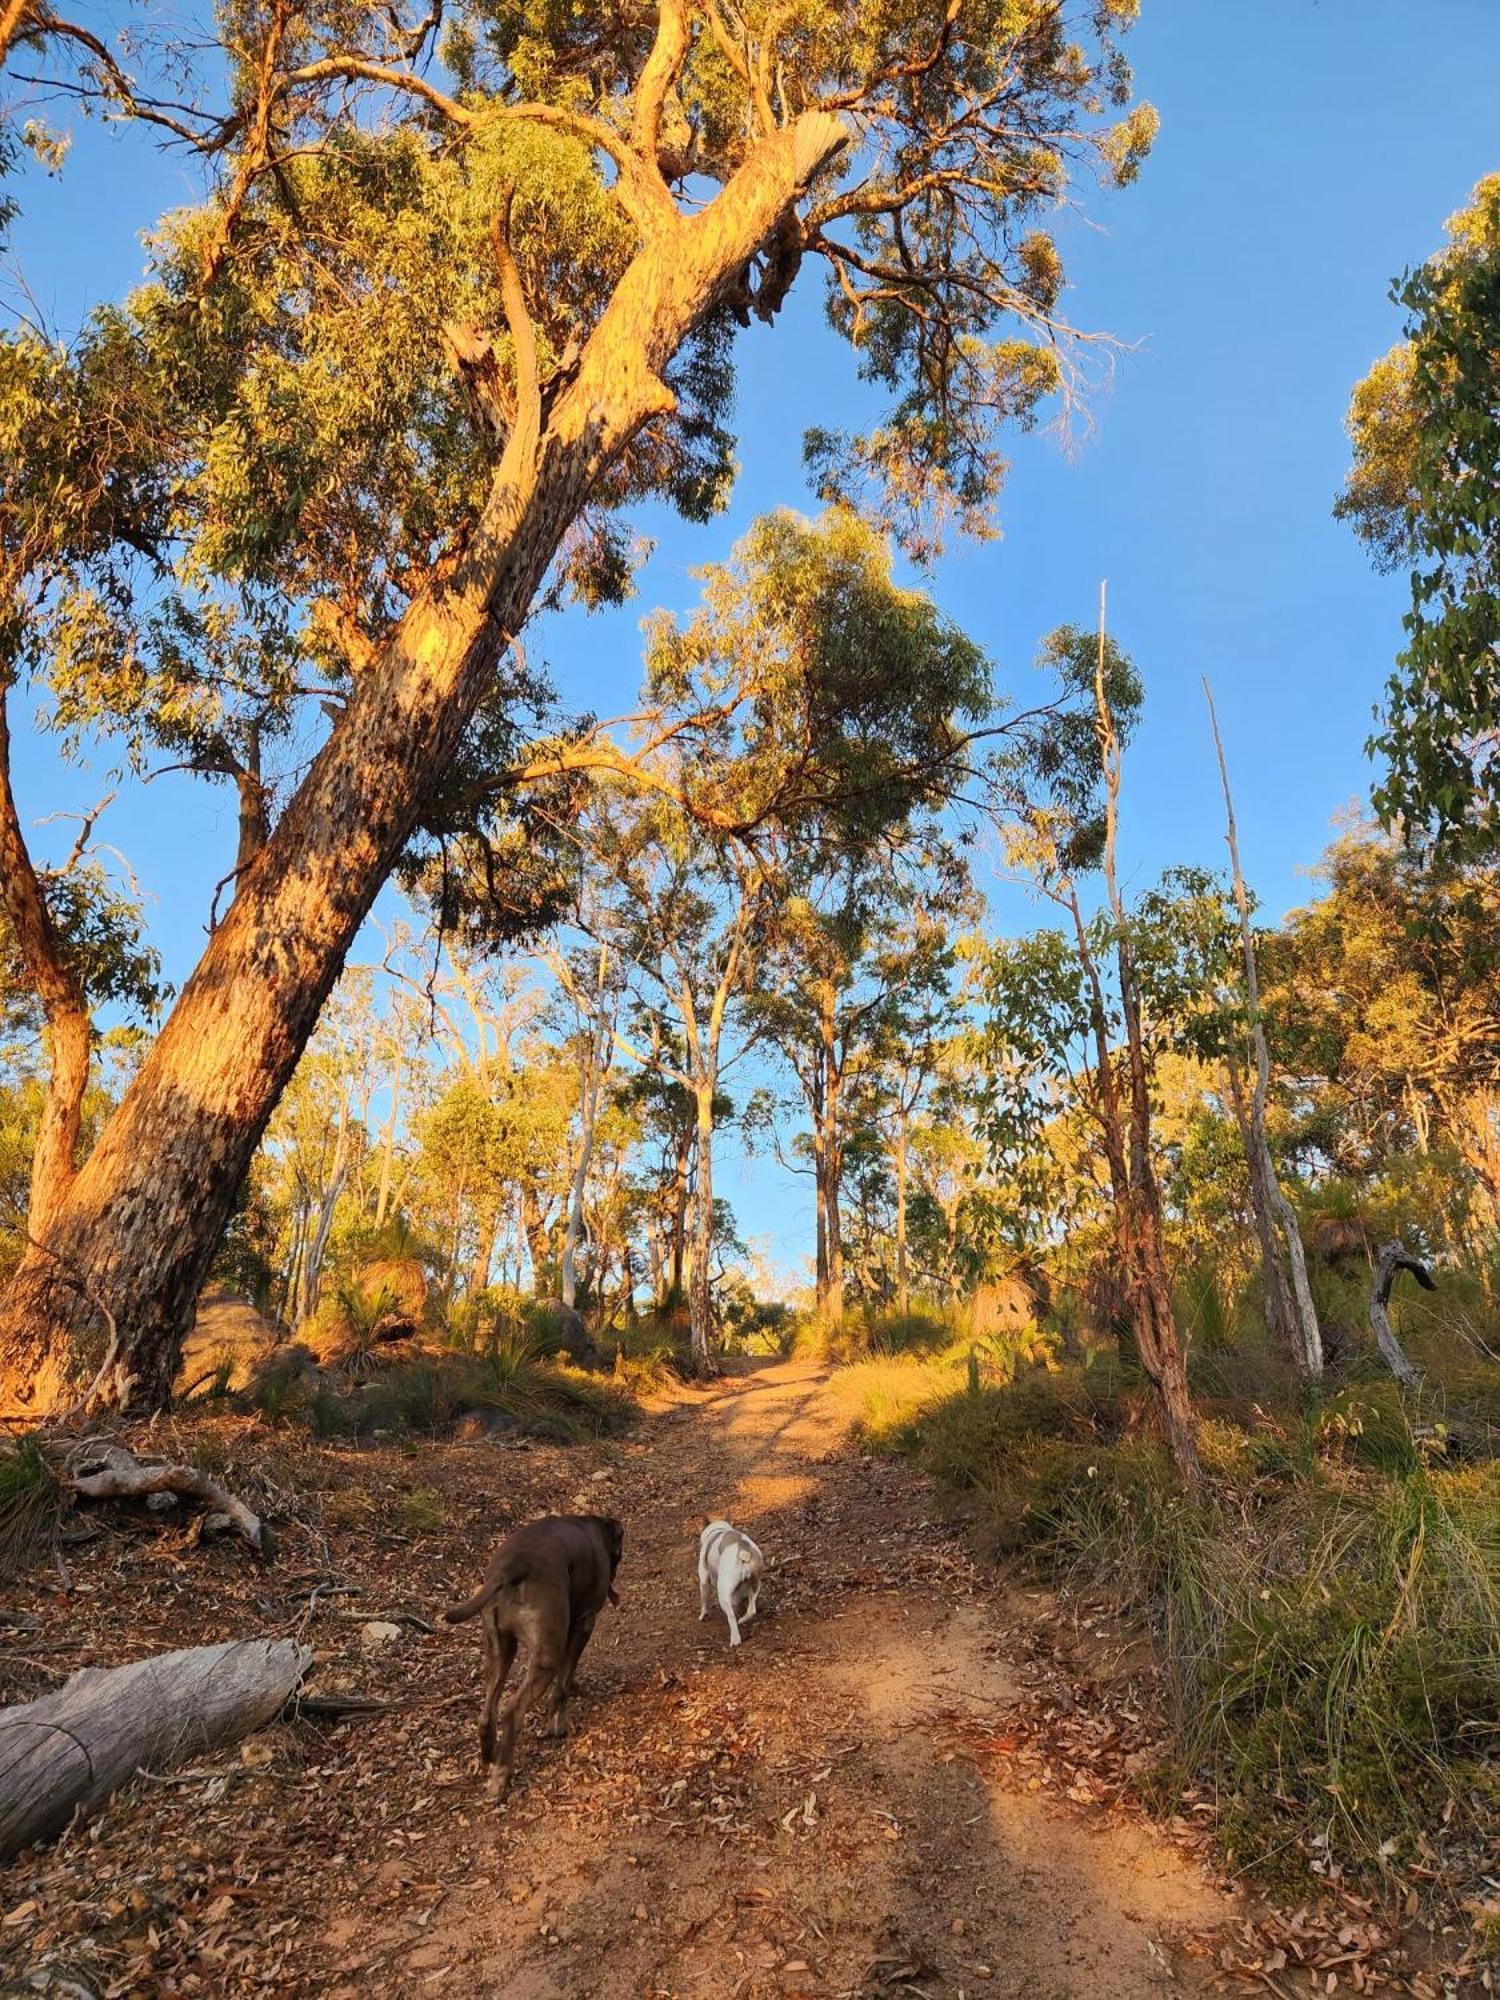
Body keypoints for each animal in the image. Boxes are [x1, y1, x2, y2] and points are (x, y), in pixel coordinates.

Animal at [440, 1512, 624, 1800]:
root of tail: (511, 1567)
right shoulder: (584, 1623)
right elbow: (563, 1683)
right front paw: (558, 1726)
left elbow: (567, 1674)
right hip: (545, 1657)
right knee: (512, 1713)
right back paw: (501, 1777)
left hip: (499, 1650)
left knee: (487, 1713)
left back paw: (489, 1757)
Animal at [704, 1520, 768, 1648]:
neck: (718, 1530)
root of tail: (744, 1550)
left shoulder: (703, 1577)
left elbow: (704, 1599)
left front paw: (703, 1615)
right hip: (755, 1582)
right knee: (751, 1608)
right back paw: (743, 1619)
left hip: (723, 1592)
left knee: (731, 1616)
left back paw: (735, 1638)